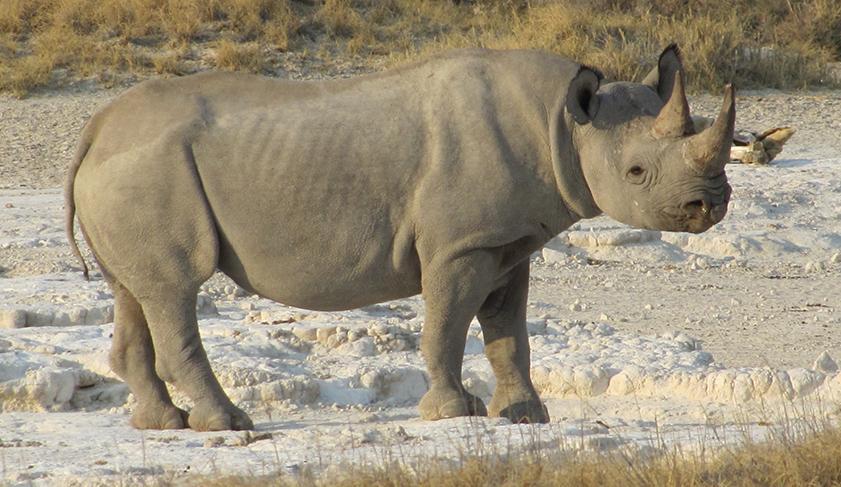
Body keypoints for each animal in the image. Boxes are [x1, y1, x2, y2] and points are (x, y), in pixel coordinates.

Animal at [66, 44, 734, 431]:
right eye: (637, 172)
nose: (710, 204)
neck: (565, 124)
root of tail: (95, 129)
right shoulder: (462, 245)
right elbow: (448, 326)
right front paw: (454, 413)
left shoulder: (507, 242)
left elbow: (508, 333)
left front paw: (526, 416)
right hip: (149, 169)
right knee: (175, 287)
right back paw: (229, 425)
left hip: (133, 171)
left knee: (134, 289)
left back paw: (162, 425)